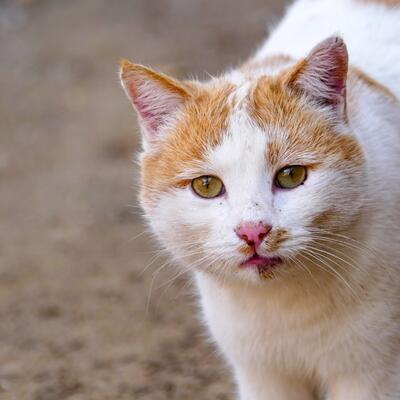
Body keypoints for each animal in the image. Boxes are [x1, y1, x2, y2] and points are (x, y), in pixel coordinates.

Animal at [119, 1, 400, 398]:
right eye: (206, 185)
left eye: (291, 176)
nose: (253, 231)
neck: (283, 305)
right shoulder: (261, 374)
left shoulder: (373, 376)